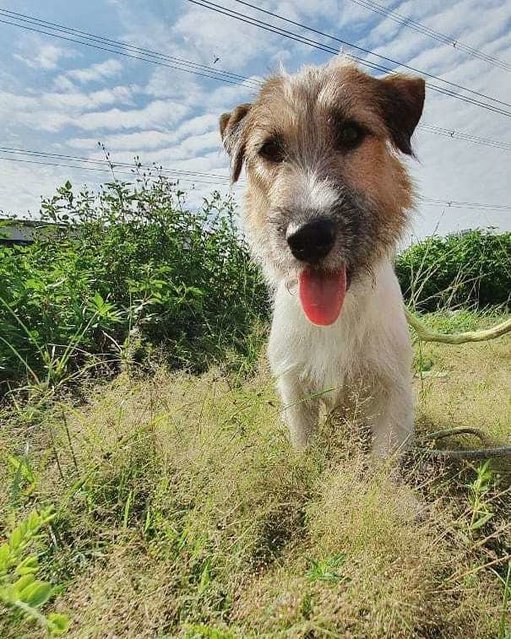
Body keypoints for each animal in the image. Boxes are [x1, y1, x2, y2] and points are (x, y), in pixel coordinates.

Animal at [218, 57, 426, 458]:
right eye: (270, 149)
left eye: (350, 133)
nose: (308, 238)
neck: (338, 316)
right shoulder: (295, 390)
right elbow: (305, 449)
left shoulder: (392, 392)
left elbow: (384, 462)